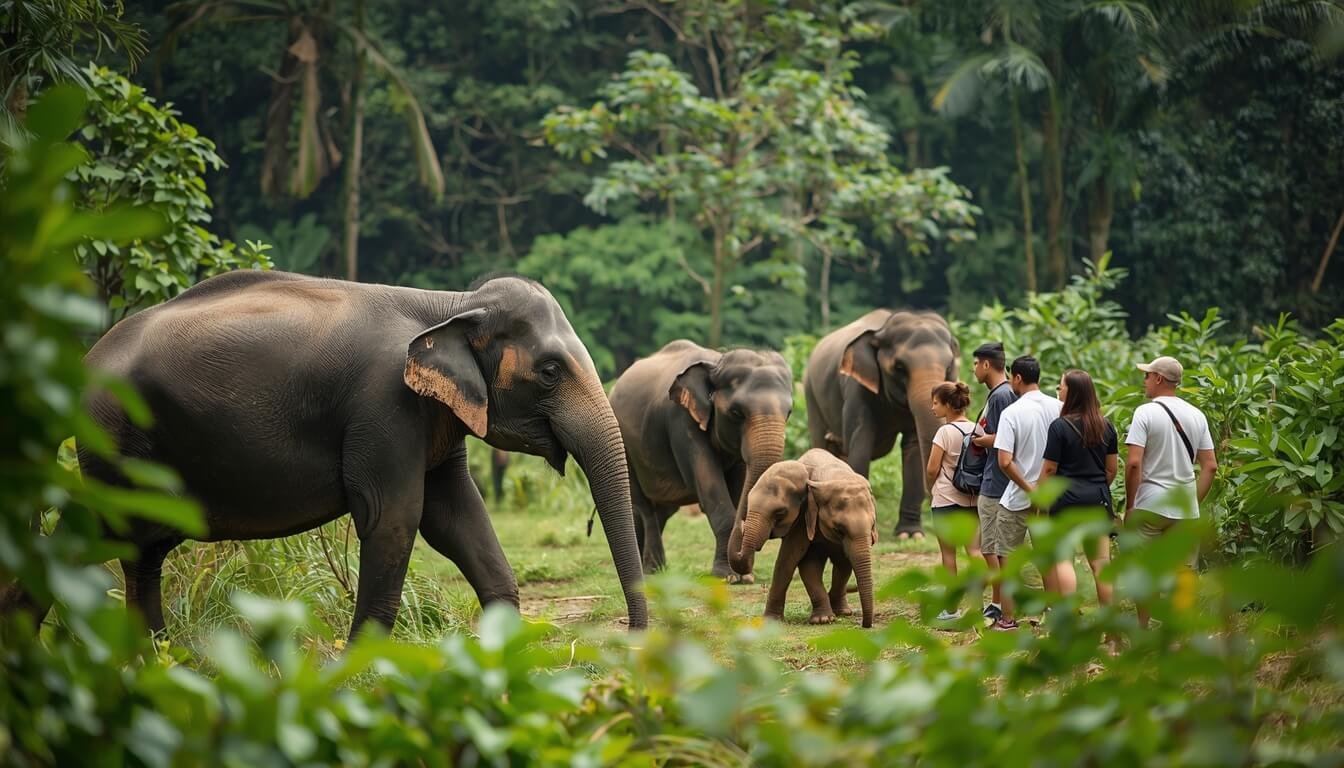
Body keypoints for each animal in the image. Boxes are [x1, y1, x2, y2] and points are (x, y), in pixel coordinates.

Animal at [42, 270, 647, 639]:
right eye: (549, 371)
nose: (637, 637)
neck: (450, 305)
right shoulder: (384, 405)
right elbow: (394, 518)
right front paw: (362, 672)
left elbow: (456, 517)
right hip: (117, 441)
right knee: (116, 539)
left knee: (132, 549)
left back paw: (154, 659)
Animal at [608, 340, 792, 581]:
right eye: (736, 413)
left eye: (789, 412)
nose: (745, 568)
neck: (717, 361)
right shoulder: (680, 420)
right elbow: (709, 484)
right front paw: (728, 577)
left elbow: (739, 480)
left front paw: (744, 577)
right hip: (625, 446)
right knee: (643, 506)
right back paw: (652, 571)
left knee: (661, 510)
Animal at [734, 449, 878, 628]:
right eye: (838, 529)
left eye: (780, 513)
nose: (865, 625)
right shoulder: (802, 520)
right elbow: (795, 562)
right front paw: (822, 620)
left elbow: (840, 562)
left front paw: (825, 619)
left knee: (841, 563)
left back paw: (842, 612)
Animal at [804, 310, 958, 539]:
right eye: (899, 367)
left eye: (948, 366)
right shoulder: (856, 388)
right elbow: (861, 442)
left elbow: (912, 449)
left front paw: (910, 534)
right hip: (811, 396)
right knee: (822, 445)